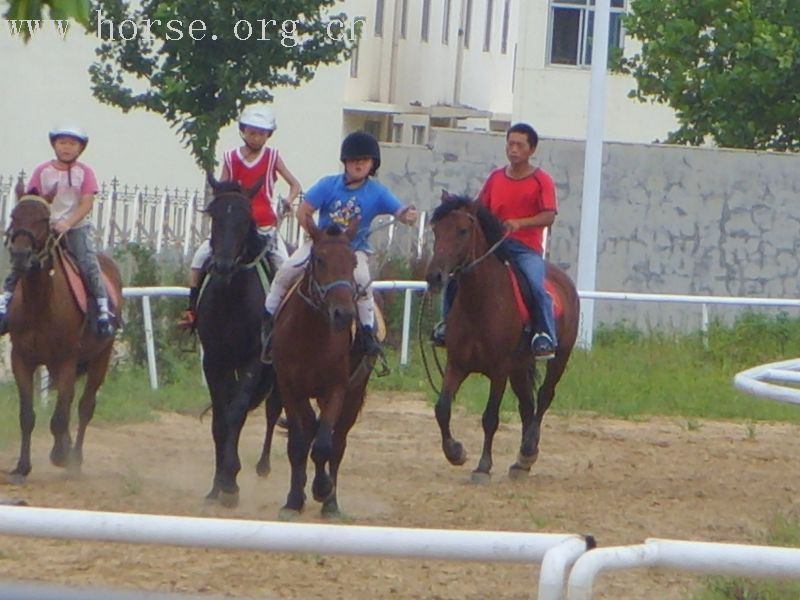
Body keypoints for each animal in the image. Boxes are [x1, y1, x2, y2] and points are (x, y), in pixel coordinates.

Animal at [3, 192, 122, 482]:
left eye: (44, 219)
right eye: (14, 215)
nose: (21, 255)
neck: (41, 304)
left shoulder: (67, 360)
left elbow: (61, 415)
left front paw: (60, 455)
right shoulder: (21, 360)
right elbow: (27, 415)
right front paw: (22, 467)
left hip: (100, 358)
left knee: (84, 406)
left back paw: (74, 458)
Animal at [196, 173, 282, 506]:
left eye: (246, 219)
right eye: (214, 216)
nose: (222, 266)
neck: (231, 299)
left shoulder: (253, 359)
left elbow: (236, 414)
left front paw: (230, 481)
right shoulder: (214, 361)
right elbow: (220, 420)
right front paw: (217, 485)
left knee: (271, 411)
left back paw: (263, 466)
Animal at [270, 218, 374, 516]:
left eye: (352, 261)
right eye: (320, 259)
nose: (344, 314)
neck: (311, 335)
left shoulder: (336, 389)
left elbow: (325, 444)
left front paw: (322, 488)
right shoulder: (289, 388)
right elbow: (298, 442)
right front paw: (294, 499)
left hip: (353, 394)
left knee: (337, 442)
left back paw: (331, 502)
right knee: (308, 431)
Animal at [422, 192, 580, 482]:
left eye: (462, 230)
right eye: (436, 230)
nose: (434, 276)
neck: (480, 302)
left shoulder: (499, 371)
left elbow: (490, 417)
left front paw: (483, 467)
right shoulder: (456, 365)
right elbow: (442, 408)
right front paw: (455, 452)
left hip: (559, 357)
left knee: (544, 397)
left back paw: (528, 449)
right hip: (519, 368)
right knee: (527, 405)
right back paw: (523, 461)